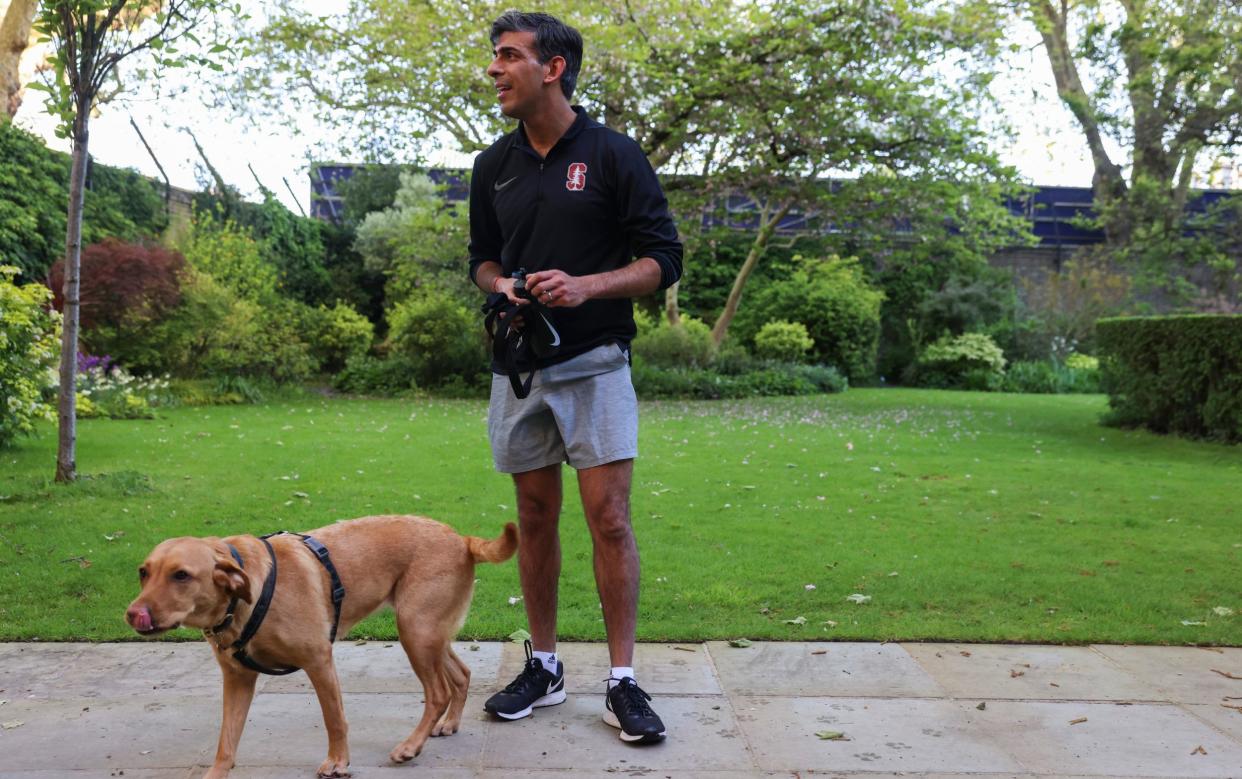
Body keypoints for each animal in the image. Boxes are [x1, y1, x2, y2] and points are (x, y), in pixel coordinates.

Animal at [126, 519, 514, 779]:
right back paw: (449, 723)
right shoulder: (237, 679)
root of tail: (461, 539)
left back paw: (410, 746)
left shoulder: (319, 660)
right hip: (428, 633)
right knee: (461, 674)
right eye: (144, 572)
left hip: (416, 632)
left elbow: (334, 719)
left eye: (181, 575)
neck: (242, 599)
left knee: (438, 692)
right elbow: (226, 740)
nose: (132, 614)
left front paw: (338, 762)